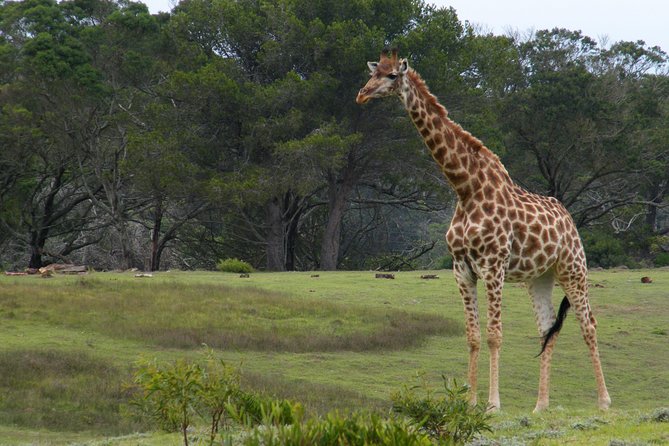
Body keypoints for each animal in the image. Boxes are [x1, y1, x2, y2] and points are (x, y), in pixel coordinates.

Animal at [356, 49, 611, 412]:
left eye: (392, 76)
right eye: (373, 72)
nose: (362, 94)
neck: (465, 188)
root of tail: (569, 220)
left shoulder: (493, 266)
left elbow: (494, 335)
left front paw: (492, 404)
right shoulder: (462, 269)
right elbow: (473, 336)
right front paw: (470, 400)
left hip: (573, 268)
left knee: (588, 323)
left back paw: (604, 402)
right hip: (539, 277)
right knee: (547, 328)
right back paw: (540, 406)